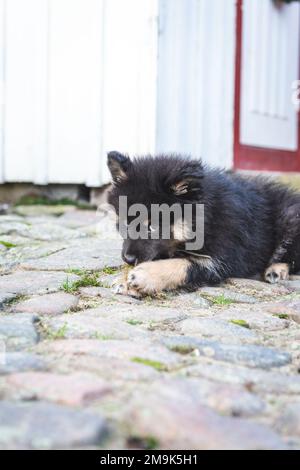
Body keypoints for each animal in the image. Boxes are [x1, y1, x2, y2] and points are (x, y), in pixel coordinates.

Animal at [108, 152, 300, 296]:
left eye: (152, 226)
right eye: (124, 222)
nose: (128, 259)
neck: (208, 218)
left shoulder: (222, 259)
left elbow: (183, 263)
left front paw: (145, 275)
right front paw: (125, 278)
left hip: (290, 216)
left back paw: (276, 269)